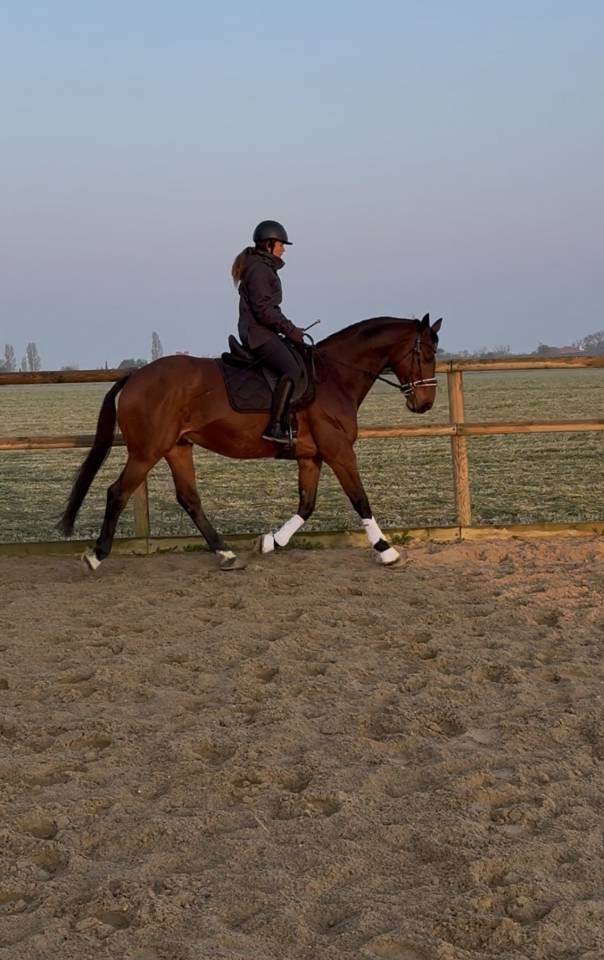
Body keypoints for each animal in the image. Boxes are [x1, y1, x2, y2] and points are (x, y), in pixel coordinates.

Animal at [58, 314, 442, 571]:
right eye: (425, 355)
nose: (424, 404)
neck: (333, 377)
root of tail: (136, 376)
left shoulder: (311, 457)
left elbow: (307, 504)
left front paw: (271, 541)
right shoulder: (339, 452)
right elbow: (360, 499)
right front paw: (386, 550)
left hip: (177, 448)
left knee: (189, 499)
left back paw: (226, 553)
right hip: (146, 451)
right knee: (118, 493)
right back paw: (96, 555)